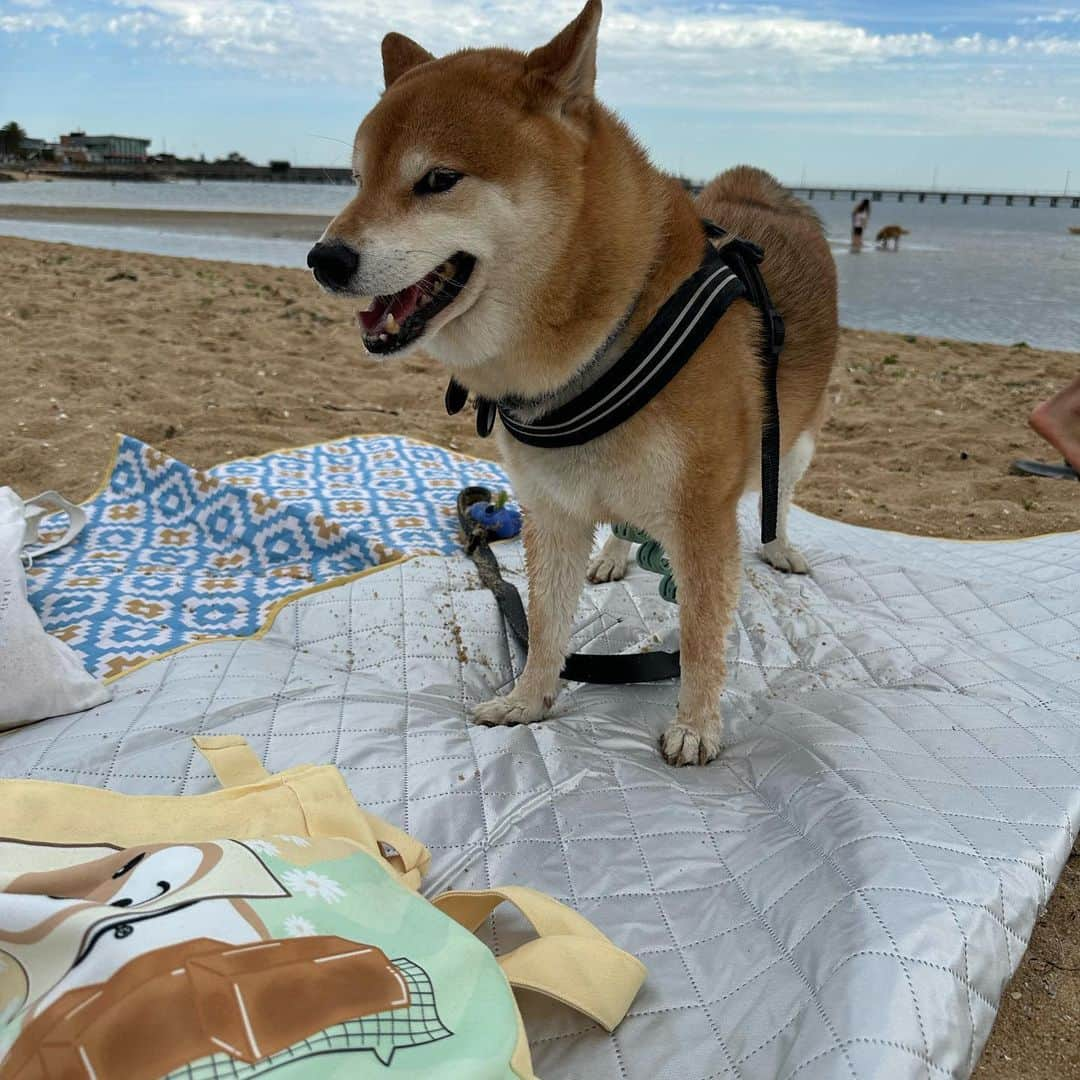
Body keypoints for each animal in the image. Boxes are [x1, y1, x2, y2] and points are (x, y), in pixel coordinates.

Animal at [308, 0, 838, 764]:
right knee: (627, 523)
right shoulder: (553, 512)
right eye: (354, 179)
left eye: (437, 180)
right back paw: (616, 556)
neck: (603, 343)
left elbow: (702, 636)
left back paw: (779, 546)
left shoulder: (703, 518)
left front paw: (696, 725)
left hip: (795, 440)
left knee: (781, 494)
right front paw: (527, 703)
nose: (324, 257)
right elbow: (546, 627)